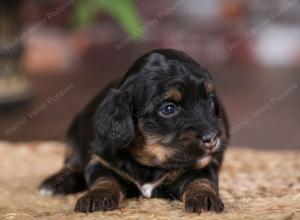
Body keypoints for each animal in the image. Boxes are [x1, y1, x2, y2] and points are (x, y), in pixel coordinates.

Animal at [38, 48, 230, 213]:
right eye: (168, 109)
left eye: (210, 100)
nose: (212, 138)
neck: (149, 164)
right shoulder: (101, 159)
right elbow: (105, 179)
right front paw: (96, 196)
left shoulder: (205, 164)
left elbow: (201, 179)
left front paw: (204, 198)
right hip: (74, 134)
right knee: (72, 164)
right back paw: (54, 184)